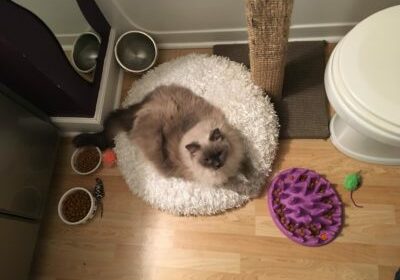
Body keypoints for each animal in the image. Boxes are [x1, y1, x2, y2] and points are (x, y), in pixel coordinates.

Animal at [73, 85, 245, 186]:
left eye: (219, 154)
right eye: (207, 160)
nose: (217, 164)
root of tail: (140, 108)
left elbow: (247, 168)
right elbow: (237, 183)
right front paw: (245, 186)